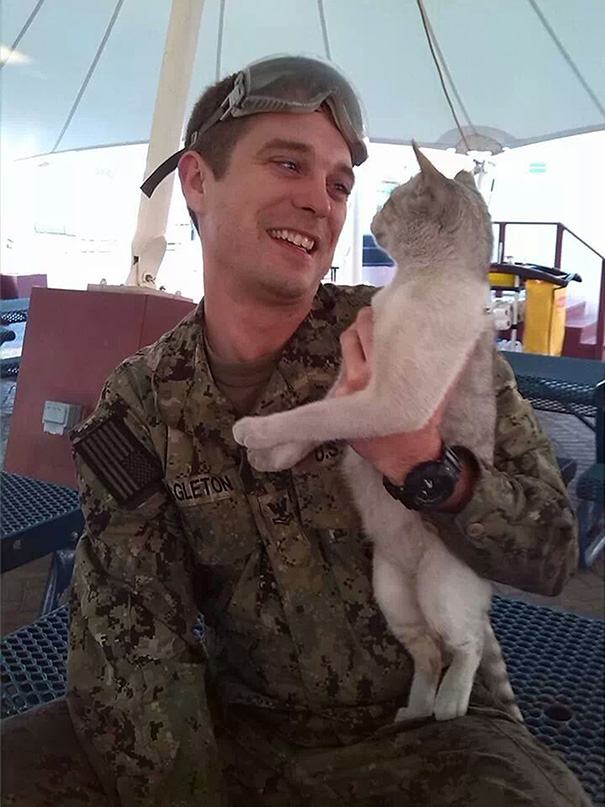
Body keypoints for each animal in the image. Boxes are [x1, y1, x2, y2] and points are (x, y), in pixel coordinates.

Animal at [231, 145, 520, 724]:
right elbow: (315, 415)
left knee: (466, 644)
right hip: (391, 594)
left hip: (440, 592)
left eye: (391, 199)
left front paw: (254, 431)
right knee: (427, 653)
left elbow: (314, 418)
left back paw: (449, 705)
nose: (372, 223)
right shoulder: (350, 382)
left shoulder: (391, 402)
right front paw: (273, 455)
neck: (411, 282)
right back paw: (413, 712)